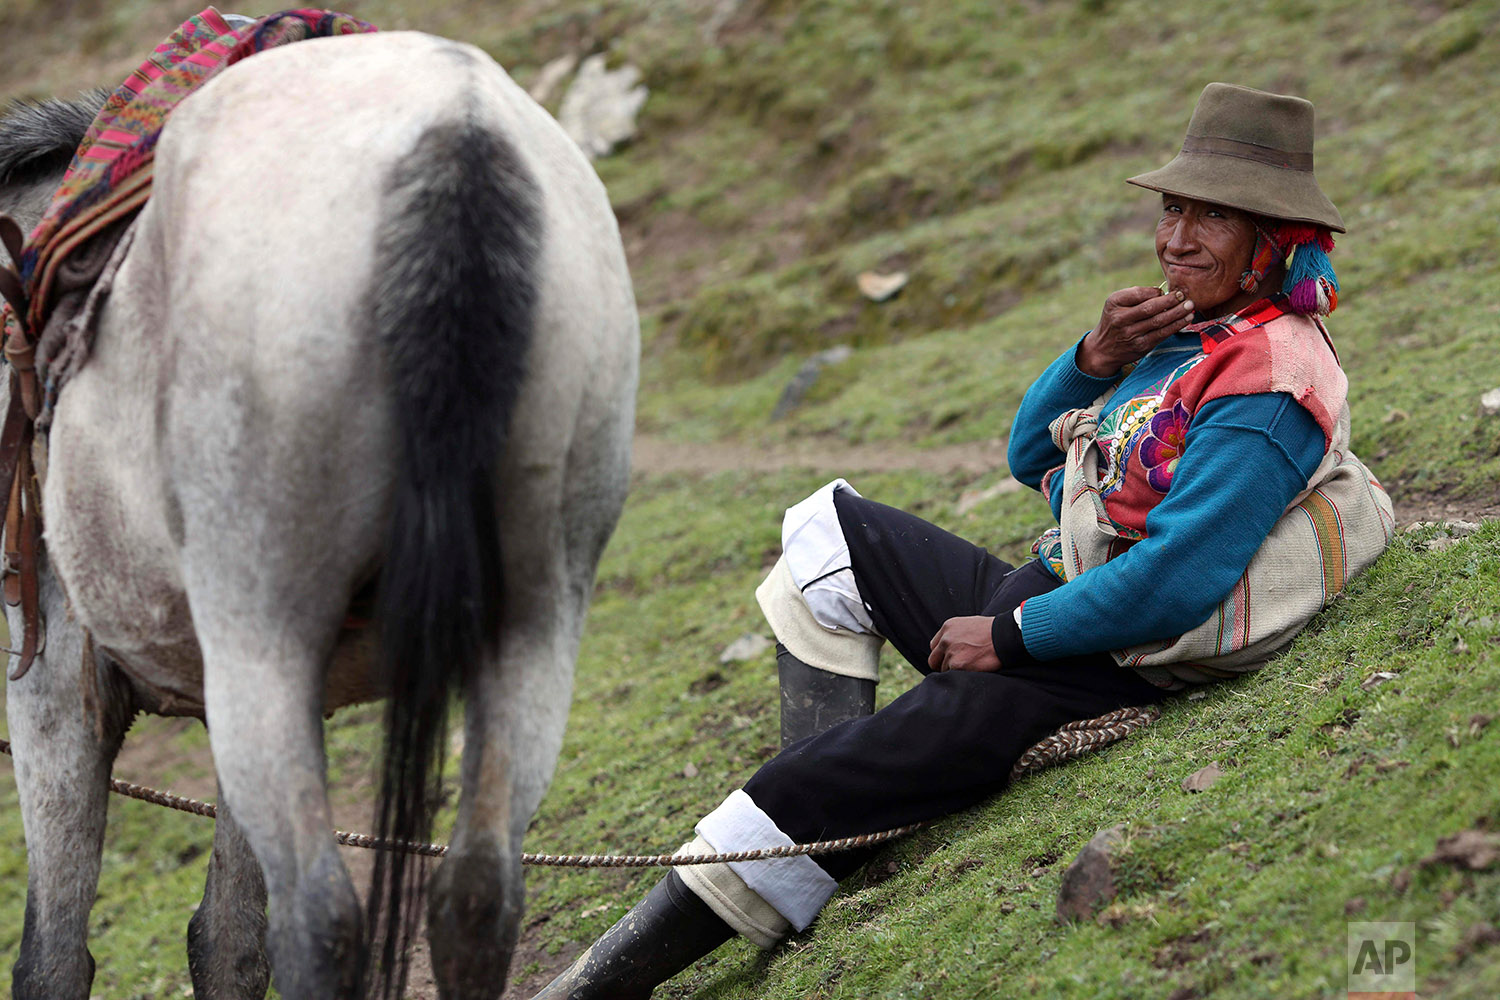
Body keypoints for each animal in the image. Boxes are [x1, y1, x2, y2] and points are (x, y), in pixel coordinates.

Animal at [0, 29, 639, 1000]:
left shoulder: (52, 681)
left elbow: (55, 957)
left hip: (262, 642)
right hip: (531, 630)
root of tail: (458, 143)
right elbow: (227, 937)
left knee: (324, 922)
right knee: (477, 897)